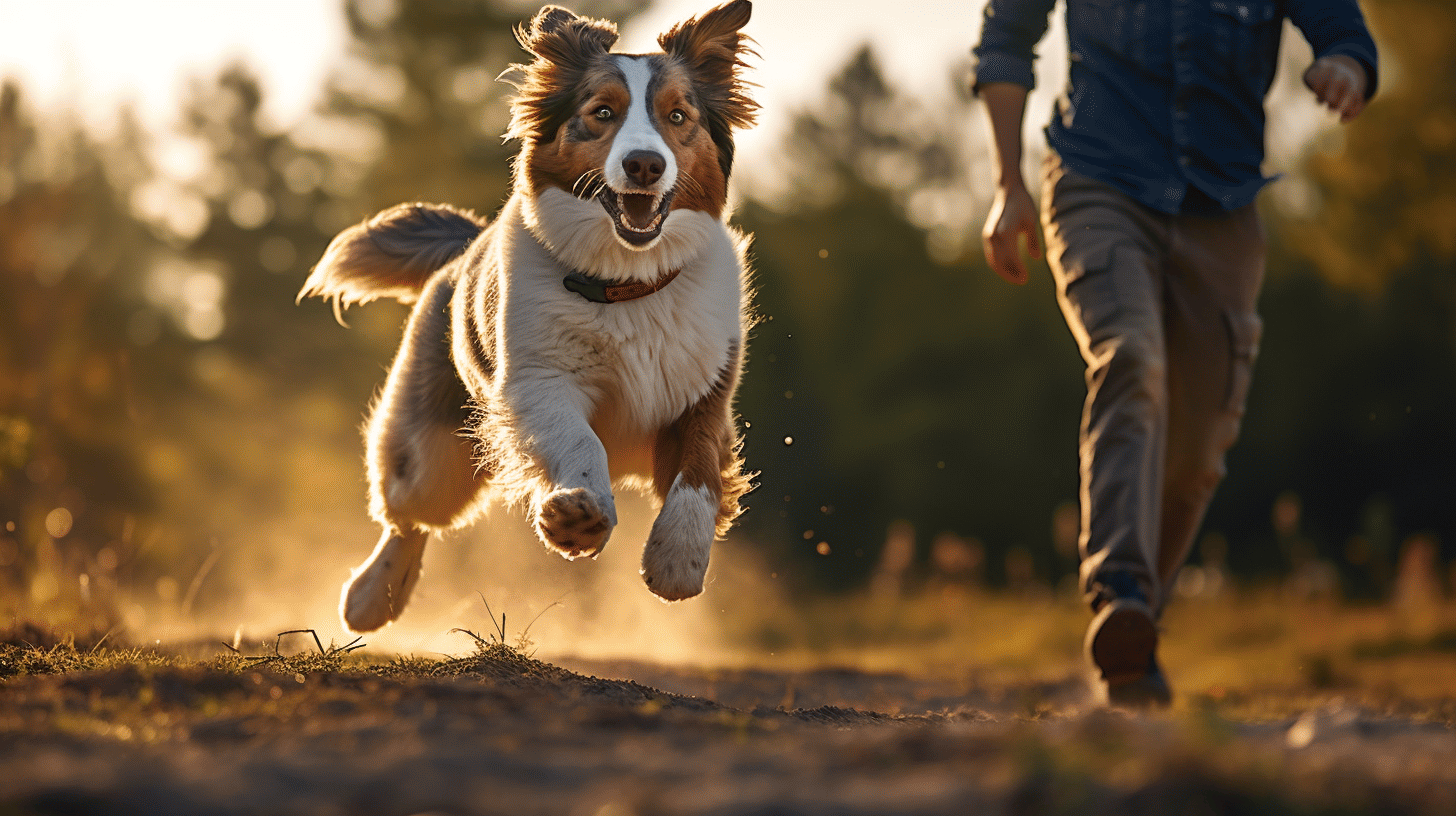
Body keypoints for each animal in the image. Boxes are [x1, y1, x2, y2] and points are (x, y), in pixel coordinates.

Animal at [307, 1, 762, 632]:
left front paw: (677, 561)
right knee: (410, 518)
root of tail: (464, 244)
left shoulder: (705, 395)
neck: (629, 284)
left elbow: (698, 479)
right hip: (433, 457)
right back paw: (371, 597)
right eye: (602, 112)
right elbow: (581, 445)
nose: (645, 165)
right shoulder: (537, 380)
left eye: (678, 115)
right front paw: (577, 517)